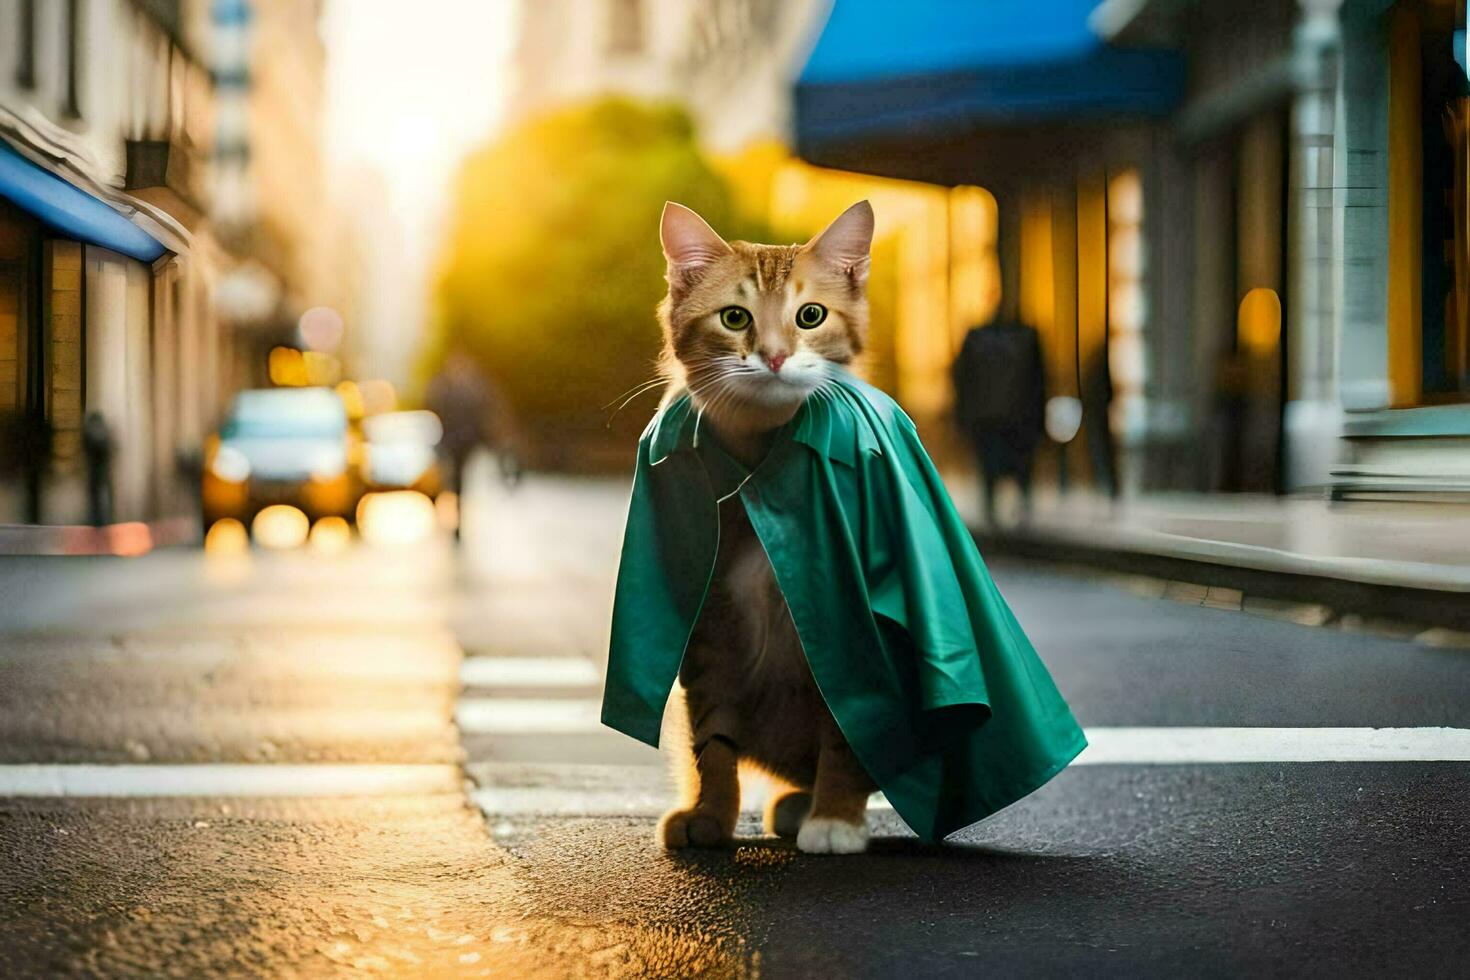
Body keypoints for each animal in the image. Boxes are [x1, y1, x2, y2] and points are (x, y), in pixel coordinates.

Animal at [652, 199, 870, 852]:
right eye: (734, 317)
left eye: (810, 315)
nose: (773, 356)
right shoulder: (708, 628)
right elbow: (713, 744)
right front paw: (710, 815)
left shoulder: (847, 623)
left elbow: (846, 730)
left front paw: (837, 816)